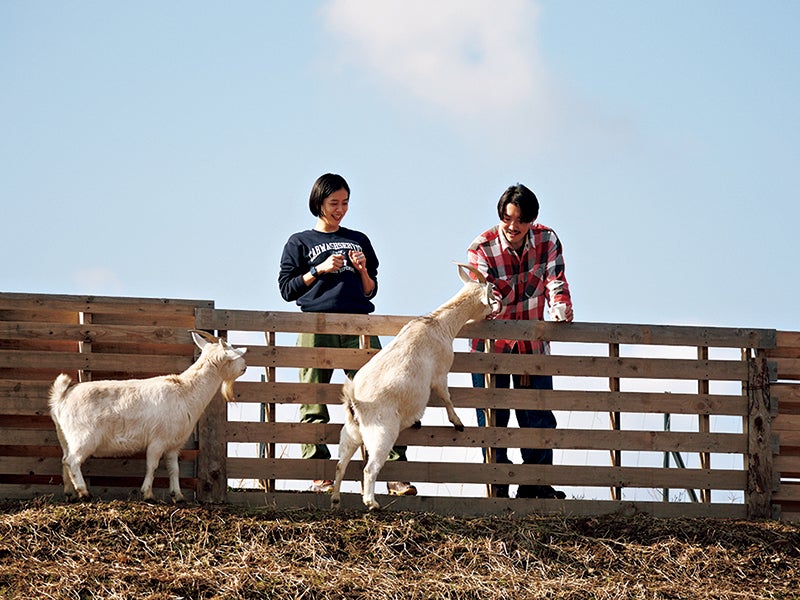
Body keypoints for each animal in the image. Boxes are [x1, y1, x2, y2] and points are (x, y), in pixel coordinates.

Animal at [49, 330, 247, 504]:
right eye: (234, 354)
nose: (245, 367)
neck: (185, 390)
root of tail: (61, 397)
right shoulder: (157, 441)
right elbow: (152, 465)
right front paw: (148, 494)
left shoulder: (174, 445)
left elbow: (174, 469)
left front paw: (178, 496)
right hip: (83, 437)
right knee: (72, 461)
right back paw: (84, 493)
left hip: (65, 437)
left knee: (64, 460)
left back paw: (70, 494)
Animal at [330, 262, 494, 510]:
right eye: (492, 294)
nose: (496, 309)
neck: (439, 324)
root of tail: (355, 403)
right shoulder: (440, 374)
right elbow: (446, 397)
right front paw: (457, 423)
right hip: (382, 433)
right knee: (370, 468)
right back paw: (371, 503)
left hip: (350, 433)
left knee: (340, 464)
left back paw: (335, 499)